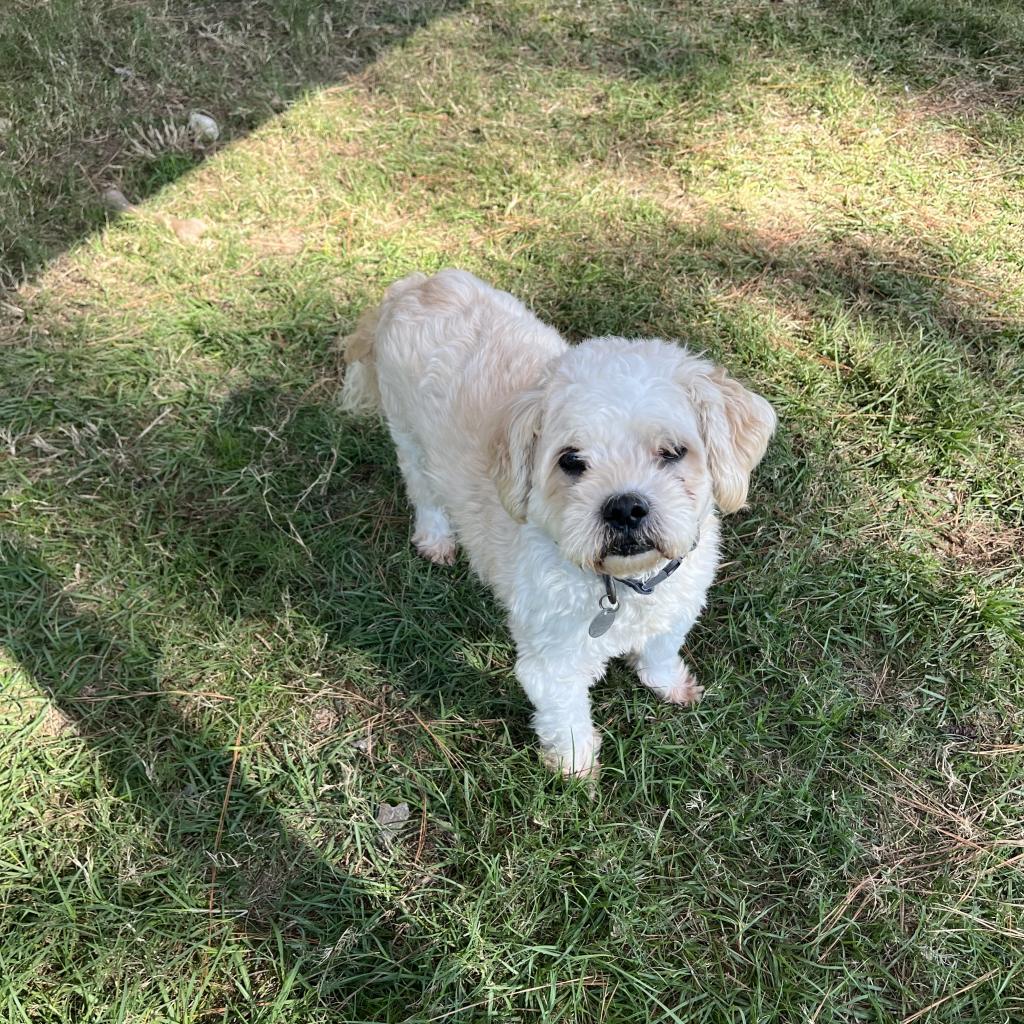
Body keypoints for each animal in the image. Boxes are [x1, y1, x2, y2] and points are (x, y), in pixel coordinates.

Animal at [344, 270, 774, 774]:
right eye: (571, 460)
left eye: (672, 451)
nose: (624, 508)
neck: (626, 585)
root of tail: (415, 285)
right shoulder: (551, 661)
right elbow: (565, 715)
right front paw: (575, 767)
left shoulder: (677, 609)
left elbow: (660, 651)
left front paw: (668, 684)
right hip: (409, 438)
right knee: (425, 493)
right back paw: (436, 538)